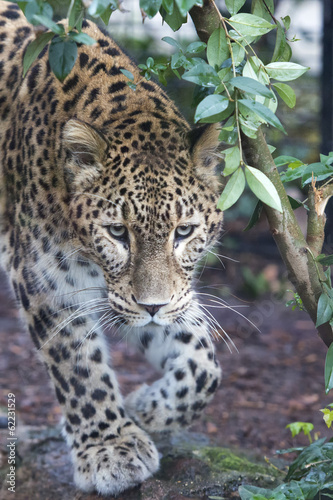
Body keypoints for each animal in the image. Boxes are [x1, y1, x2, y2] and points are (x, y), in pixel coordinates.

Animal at [0, 0, 224, 496]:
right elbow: (78, 366)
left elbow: (204, 361)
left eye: (184, 231)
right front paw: (109, 449)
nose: (153, 306)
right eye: (118, 232)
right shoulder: (46, 282)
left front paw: (148, 408)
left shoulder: (154, 296)